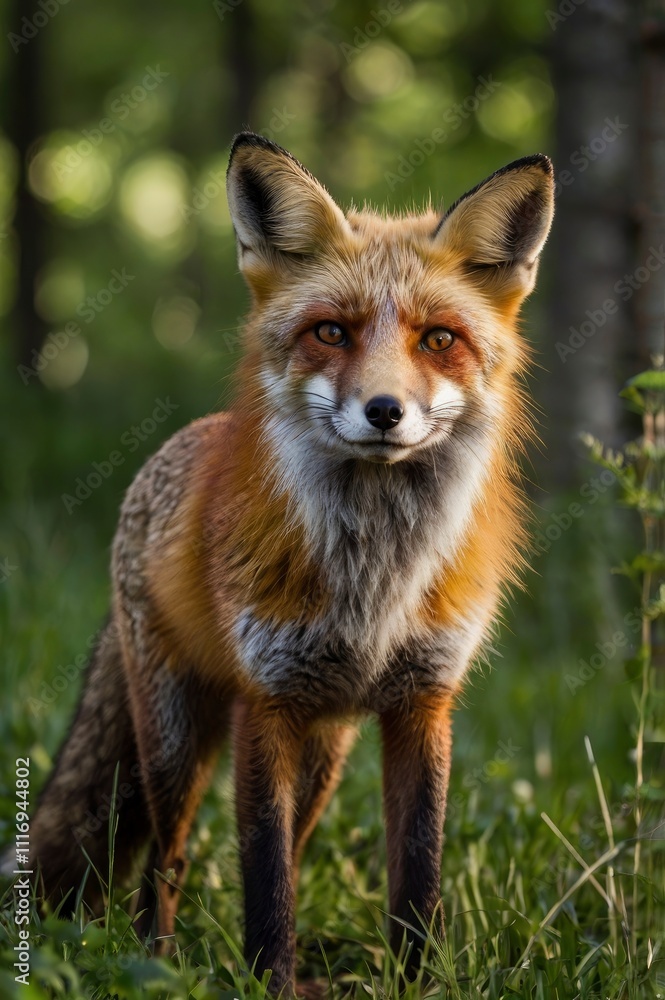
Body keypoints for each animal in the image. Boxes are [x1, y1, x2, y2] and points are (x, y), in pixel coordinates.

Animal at [28, 132, 554, 995]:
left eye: (438, 339)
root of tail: (181, 442)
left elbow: (414, 871)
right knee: (165, 862)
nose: (384, 411)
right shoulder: (264, 704)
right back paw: (153, 962)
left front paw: (414, 978)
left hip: (323, 751)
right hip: (174, 739)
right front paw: (268, 980)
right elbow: (264, 876)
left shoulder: (422, 702)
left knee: (293, 848)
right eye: (331, 333)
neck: (374, 579)